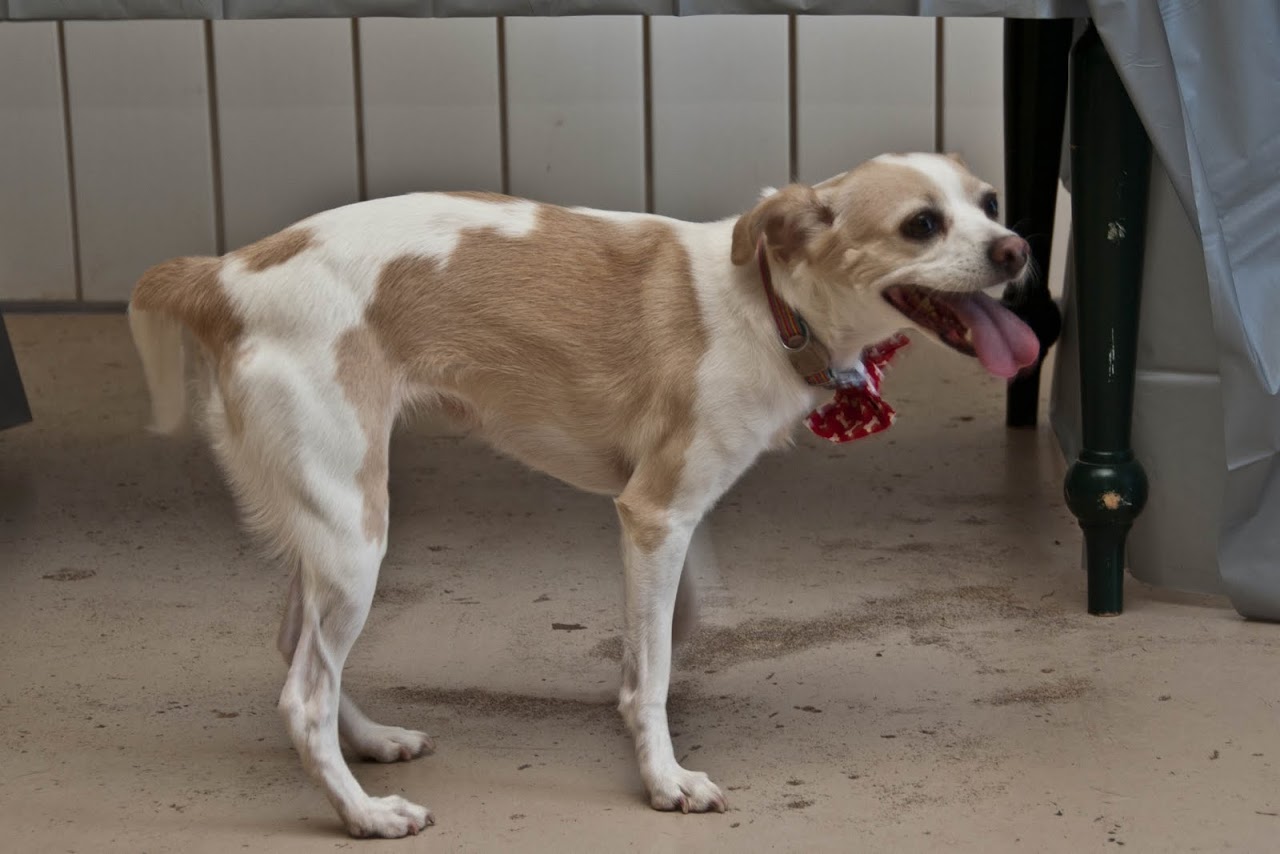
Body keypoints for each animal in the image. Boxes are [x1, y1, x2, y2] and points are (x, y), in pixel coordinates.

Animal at [127, 152, 1037, 838]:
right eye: (922, 223)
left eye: (991, 202)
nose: (1018, 250)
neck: (768, 304)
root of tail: (226, 274)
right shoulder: (656, 514)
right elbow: (657, 668)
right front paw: (664, 777)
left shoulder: (663, 520)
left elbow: (665, 635)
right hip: (355, 532)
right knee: (302, 696)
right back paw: (364, 814)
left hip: (327, 525)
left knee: (297, 646)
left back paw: (375, 741)